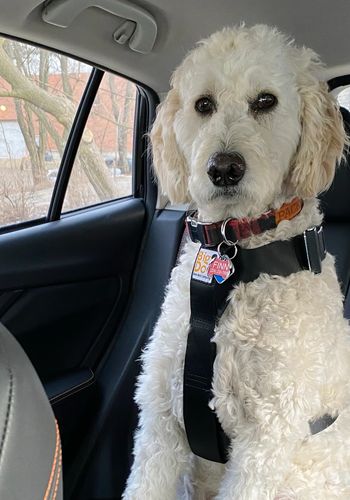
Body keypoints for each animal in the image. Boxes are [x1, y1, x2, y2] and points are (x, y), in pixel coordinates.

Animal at [122, 24, 350, 500]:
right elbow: (145, 482)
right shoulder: (160, 415)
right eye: (203, 105)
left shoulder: (266, 440)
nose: (223, 168)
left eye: (265, 101)